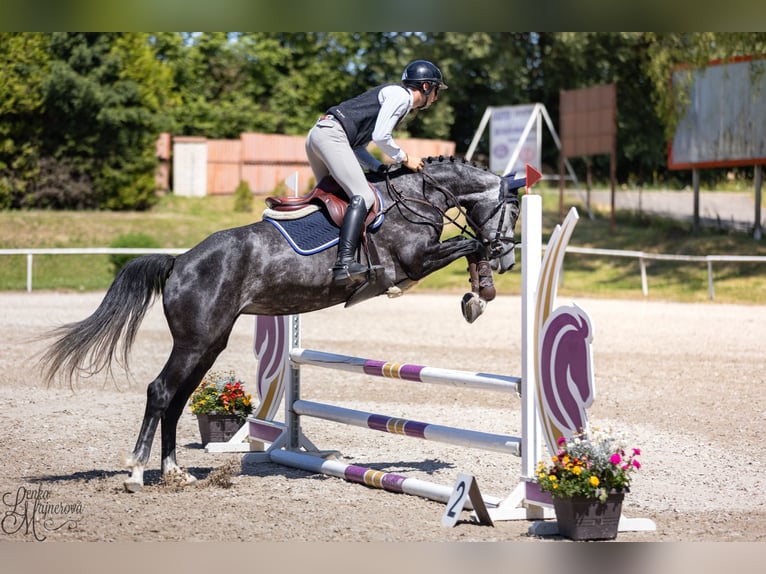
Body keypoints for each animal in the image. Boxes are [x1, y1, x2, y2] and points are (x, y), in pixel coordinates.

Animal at [39, 155, 521, 492]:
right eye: (513, 213)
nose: (509, 258)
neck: (417, 196)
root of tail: (180, 261)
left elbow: (469, 245)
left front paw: (480, 290)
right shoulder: (415, 261)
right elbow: (468, 243)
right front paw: (480, 291)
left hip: (209, 343)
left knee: (175, 400)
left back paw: (175, 474)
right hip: (195, 342)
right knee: (159, 392)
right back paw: (137, 473)